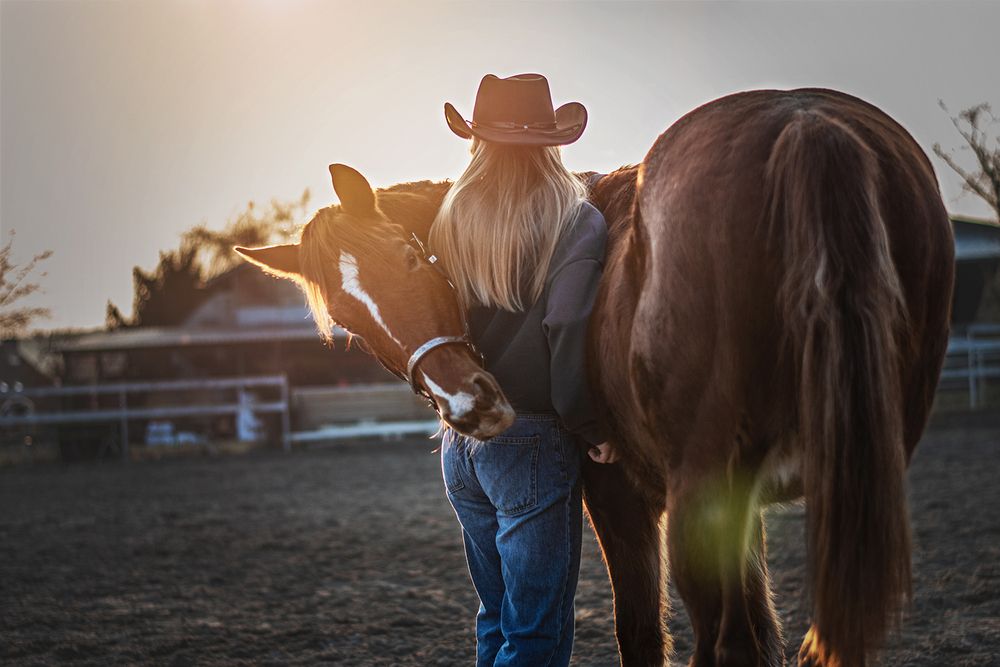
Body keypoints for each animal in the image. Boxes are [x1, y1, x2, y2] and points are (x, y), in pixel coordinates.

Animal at [236, 88, 955, 667]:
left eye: (412, 259)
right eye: (351, 325)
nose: (470, 406)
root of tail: (801, 120)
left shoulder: (621, 498)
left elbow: (644, 635)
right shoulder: (739, 503)